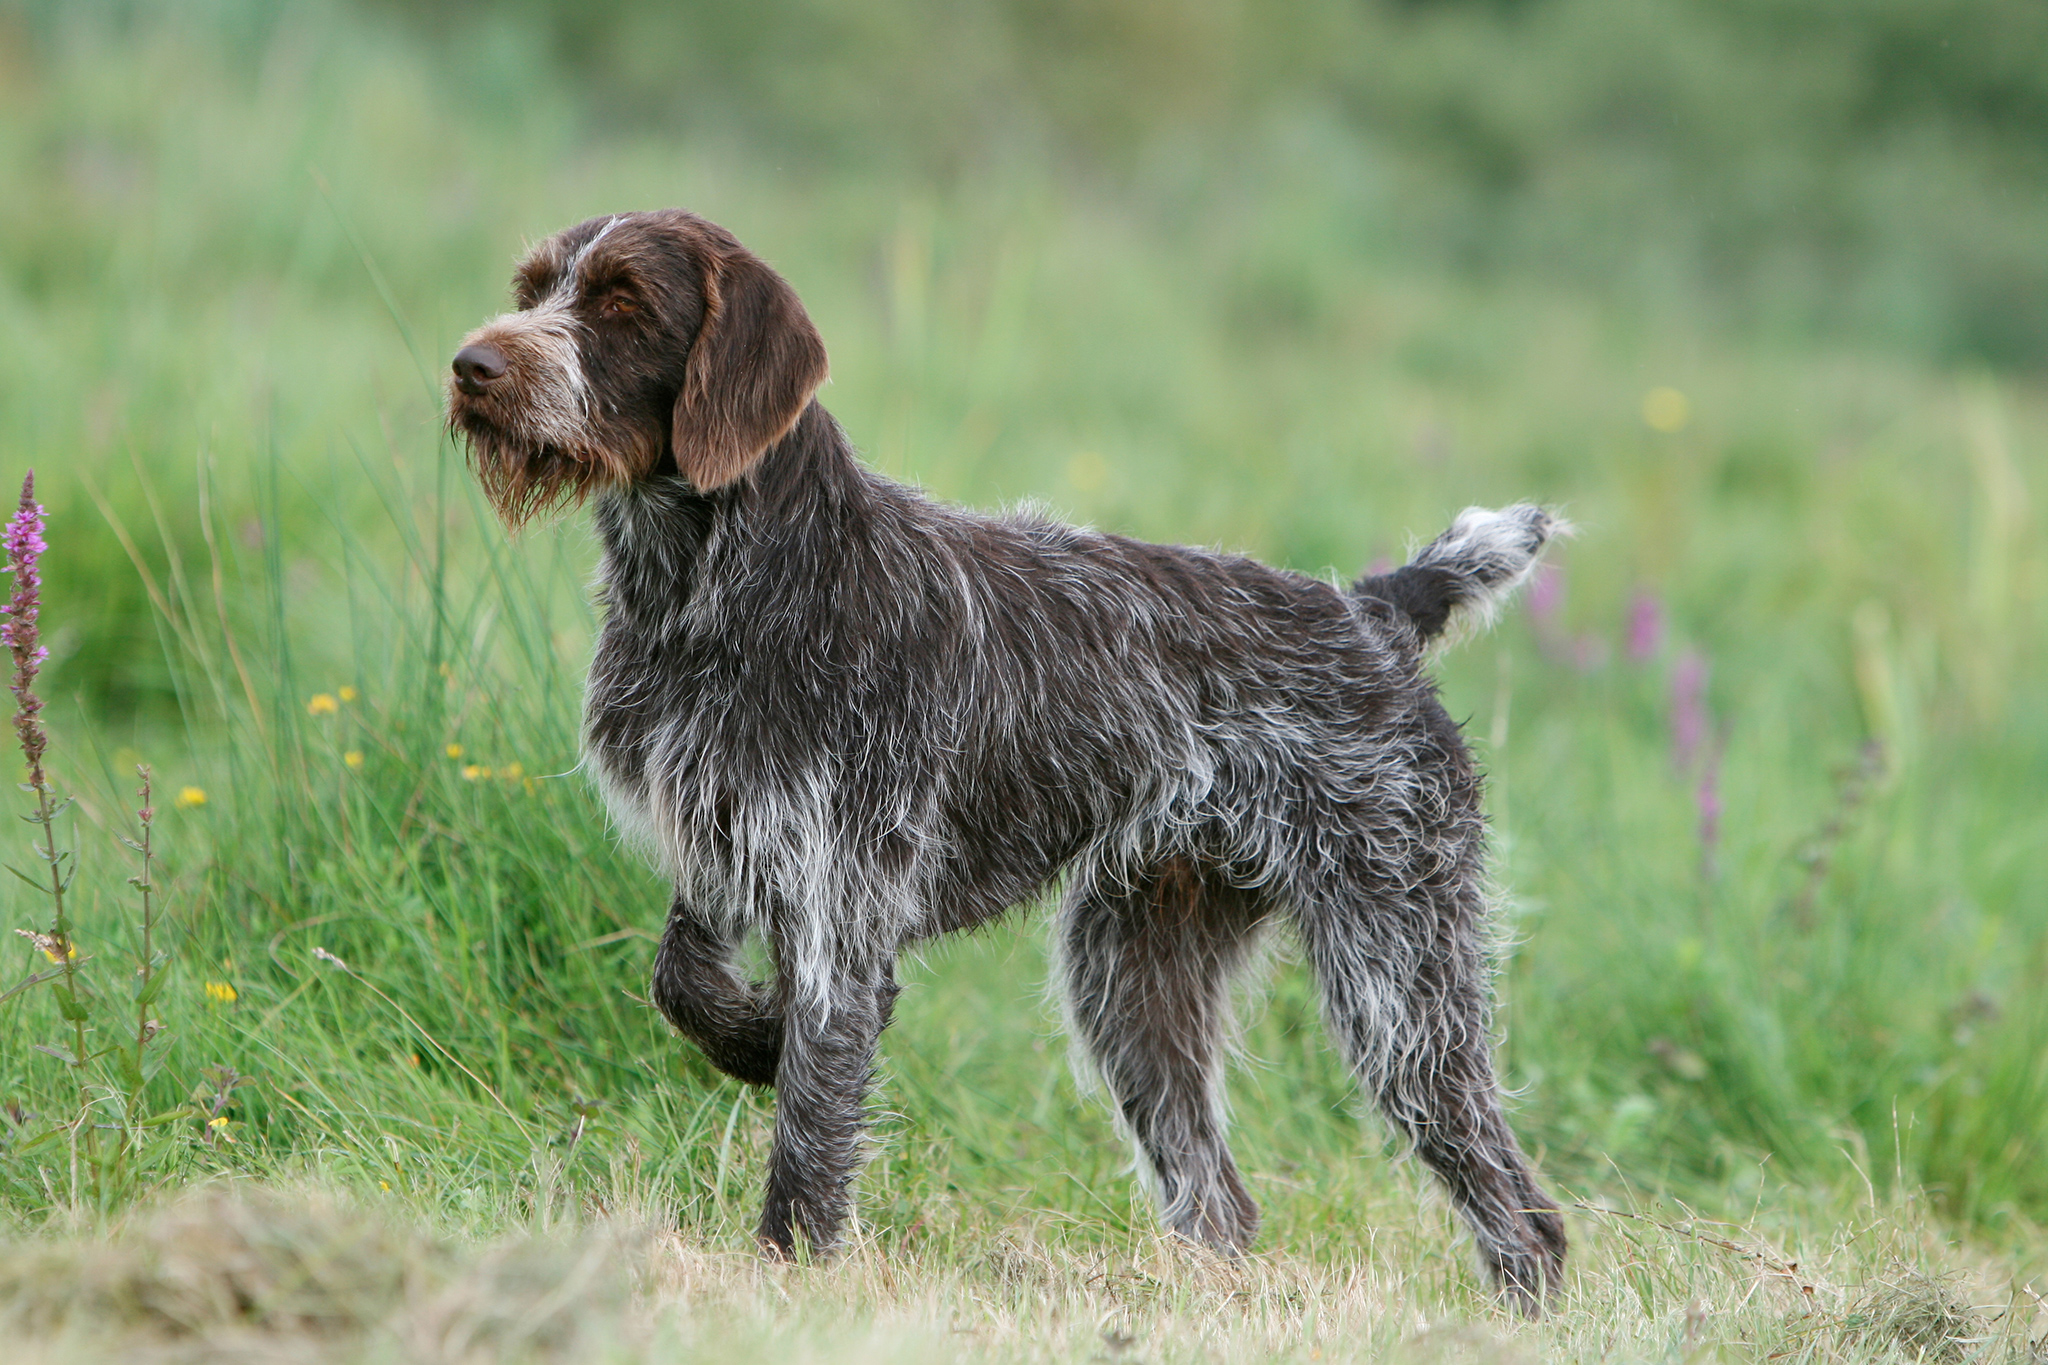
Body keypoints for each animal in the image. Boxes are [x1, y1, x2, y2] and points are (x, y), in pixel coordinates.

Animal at [448, 208, 1564, 1309]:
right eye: (532, 288)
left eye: (622, 302)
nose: (471, 365)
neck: (712, 586)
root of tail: (1370, 607)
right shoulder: (729, 847)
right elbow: (681, 980)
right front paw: (755, 1039)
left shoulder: (839, 905)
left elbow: (812, 1122)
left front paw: (786, 1276)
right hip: (1133, 980)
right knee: (1218, 1200)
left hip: (1395, 979)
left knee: (1518, 1207)